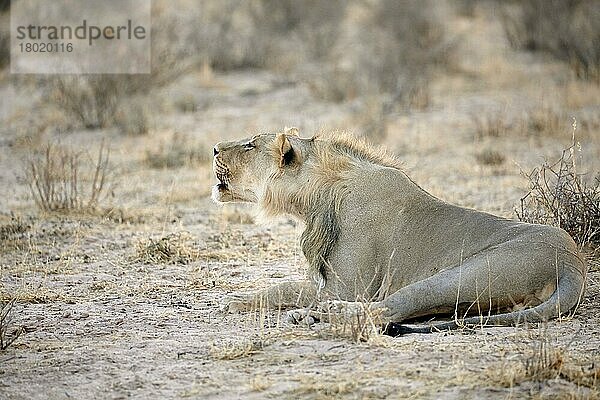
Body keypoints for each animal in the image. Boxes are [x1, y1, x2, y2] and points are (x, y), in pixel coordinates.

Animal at [211, 127, 584, 332]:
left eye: (251, 144)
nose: (213, 148)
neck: (318, 196)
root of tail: (573, 264)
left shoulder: (349, 287)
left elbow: (287, 288)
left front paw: (237, 301)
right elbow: (286, 286)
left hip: (461, 275)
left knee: (388, 309)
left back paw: (318, 315)